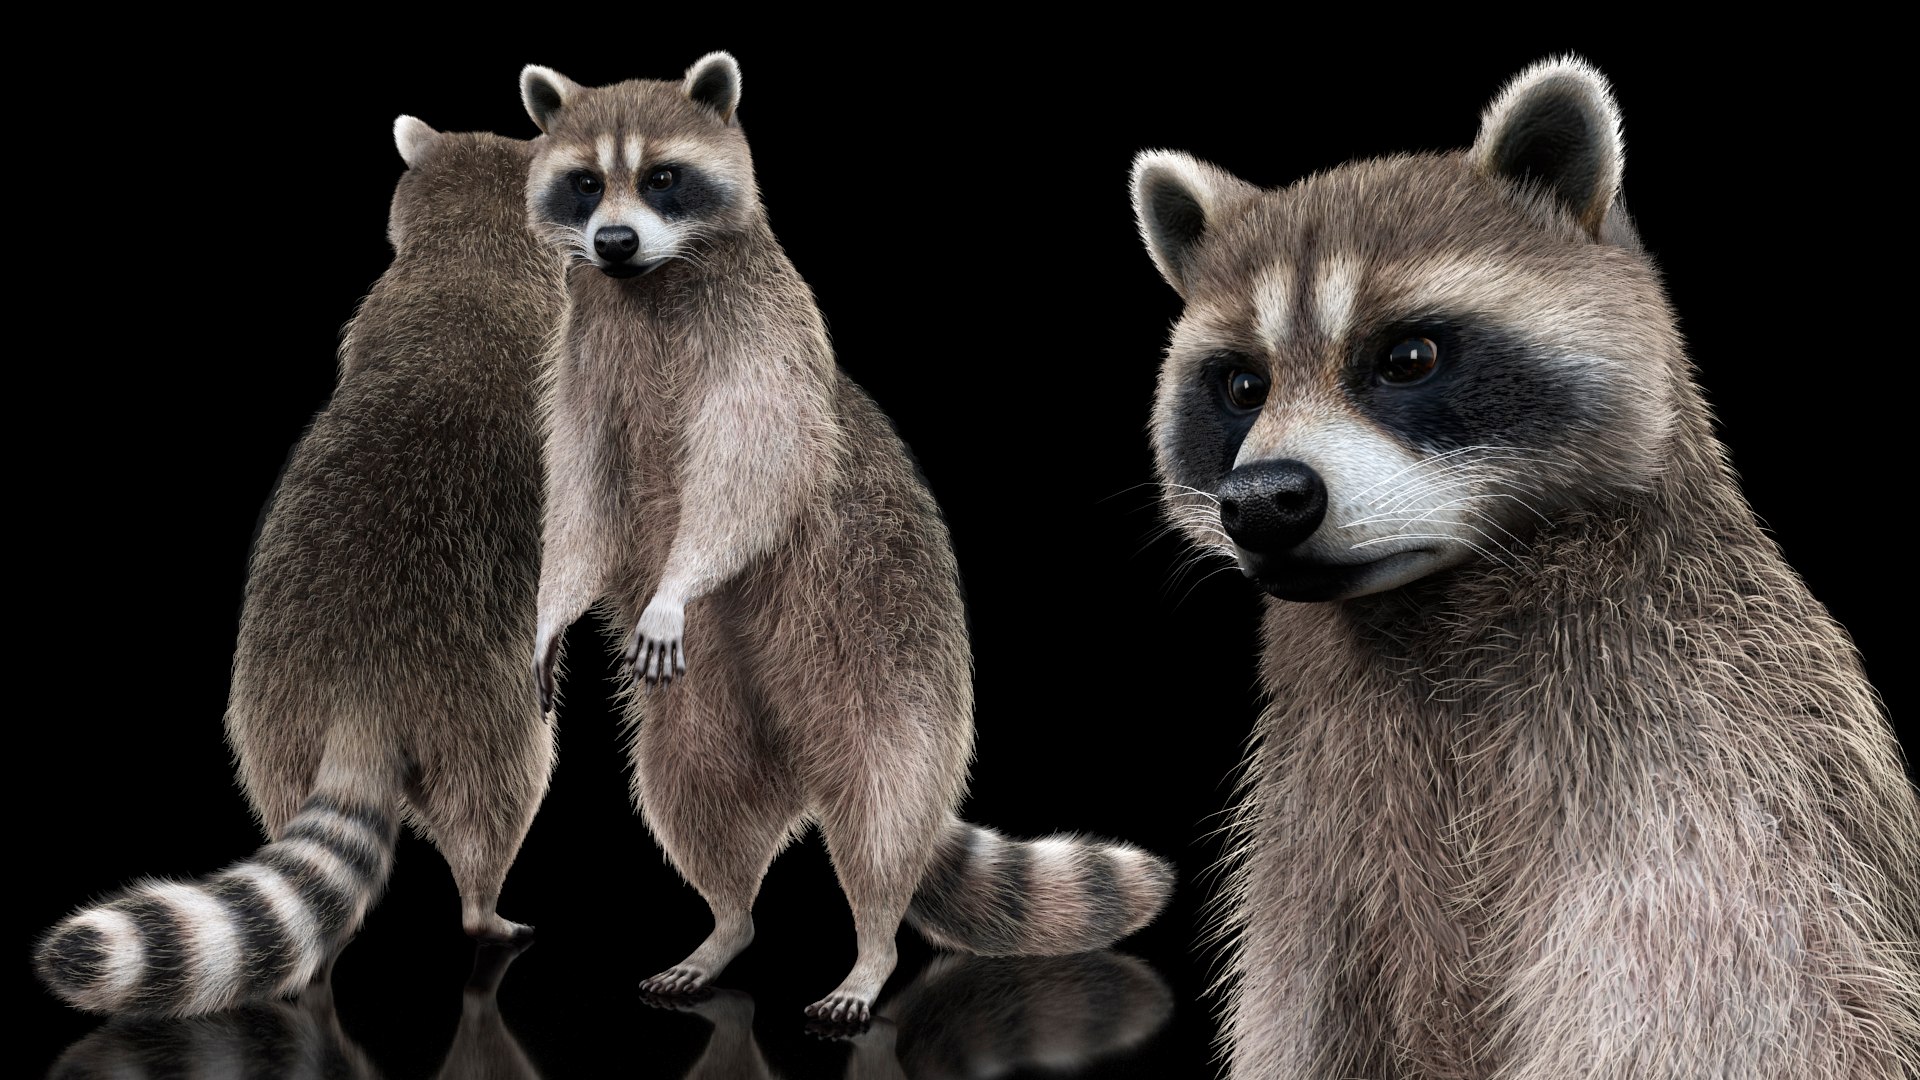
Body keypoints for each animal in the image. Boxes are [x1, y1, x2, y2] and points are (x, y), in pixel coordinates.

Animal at [35, 121, 566, 1017]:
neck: (469, 254)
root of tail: (360, 693)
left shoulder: (374, 312)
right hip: (483, 706)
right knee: (498, 800)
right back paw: (483, 904)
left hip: (264, 709)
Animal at [521, 53, 1175, 1023]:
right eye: (586, 184)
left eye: (664, 179)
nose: (613, 243)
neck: (650, 285)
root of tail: (796, 758)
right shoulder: (581, 365)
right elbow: (579, 500)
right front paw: (553, 611)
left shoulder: (765, 340)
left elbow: (757, 467)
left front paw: (678, 583)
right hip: (708, 710)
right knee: (691, 791)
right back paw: (727, 922)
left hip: (889, 671)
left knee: (881, 812)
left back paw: (871, 944)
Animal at [1131, 58, 1920, 1078]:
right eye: (1241, 386)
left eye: (1408, 357)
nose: (1266, 500)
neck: (1427, 605)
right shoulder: (1309, 831)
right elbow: (1297, 1021)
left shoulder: (1719, 785)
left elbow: (1717, 1019)